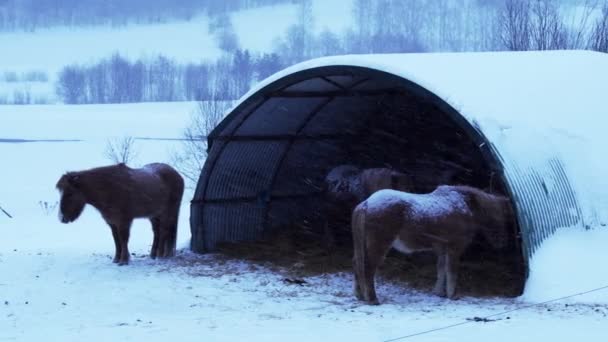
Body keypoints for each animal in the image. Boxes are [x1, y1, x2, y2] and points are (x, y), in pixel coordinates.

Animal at [55, 162, 184, 264]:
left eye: (70, 193)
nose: (62, 218)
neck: (109, 188)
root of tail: (178, 175)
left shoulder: (124, 221)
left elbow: (123, 239)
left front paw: (124, 260)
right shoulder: (112, 222)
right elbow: (116, 240)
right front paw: (116, 259)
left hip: (168, 212)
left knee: (164, 231)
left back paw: (161, 255)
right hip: (154, 215)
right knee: (157, 232)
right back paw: (154, 254)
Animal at [352, 186, 512, 304]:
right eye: (500, 216)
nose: (502, 242)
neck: (464, 205)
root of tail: (367, 203)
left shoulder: (442, 248)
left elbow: (441, 269)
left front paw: (439, 292)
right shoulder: (454, 248)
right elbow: (451, 272)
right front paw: (452, 295)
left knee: (358, 265)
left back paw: (361, 295)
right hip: (379, 245)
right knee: (368, 268)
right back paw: (373, 299)